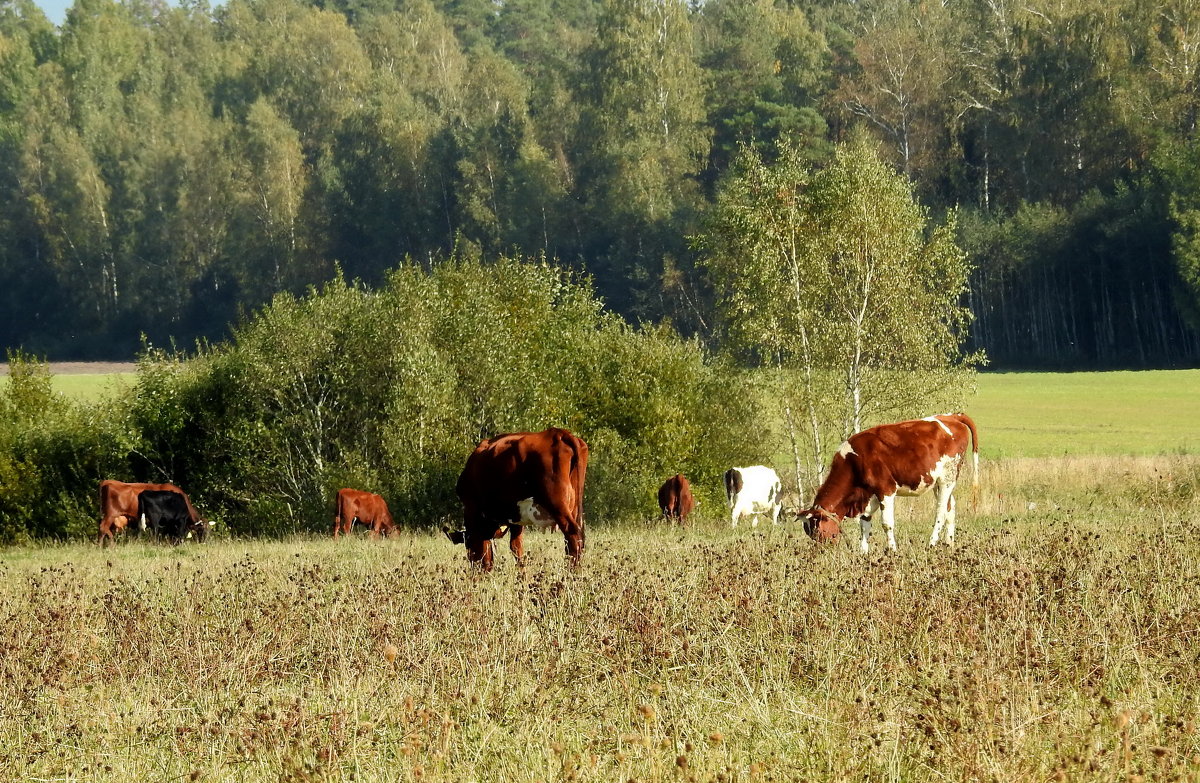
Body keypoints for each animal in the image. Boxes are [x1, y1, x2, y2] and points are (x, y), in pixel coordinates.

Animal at [444, 427, 588, 569]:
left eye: (469, 546)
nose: (477, 571)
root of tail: (559, 433)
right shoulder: (516, 515)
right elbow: (517, 547)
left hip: (556, 504)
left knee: (573, 536)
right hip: (574, 508)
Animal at [801, 413, 979, 552]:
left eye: (817, 532)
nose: (823, 551)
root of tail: (952, 416)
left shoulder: (885, 490)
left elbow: (887, 523)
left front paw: (892, 550)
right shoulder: (868, 495)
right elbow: (864, 524)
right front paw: (863, 552)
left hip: (947, 478)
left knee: (941, 511)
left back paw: (932, 543)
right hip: (938, 482)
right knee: (950, 507)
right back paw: (949, 543)